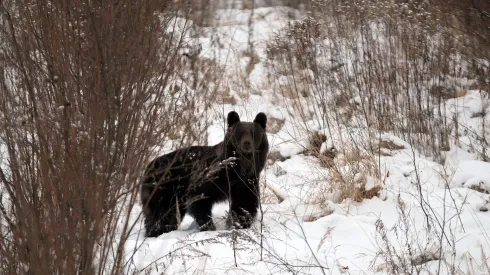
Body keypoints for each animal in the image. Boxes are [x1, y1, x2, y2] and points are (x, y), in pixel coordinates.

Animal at [140, 111, 270, 238]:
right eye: (239, 133)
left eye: (254, 133)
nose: (247, 143)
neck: (237, 170)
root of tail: (148, 166)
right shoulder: (209, 176)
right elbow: (200, 197)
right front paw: (209, 226)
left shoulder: (246, 181)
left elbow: (244, 202)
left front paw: (239, 223)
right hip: (164, 187)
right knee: (160, 213)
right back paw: (156, 232)